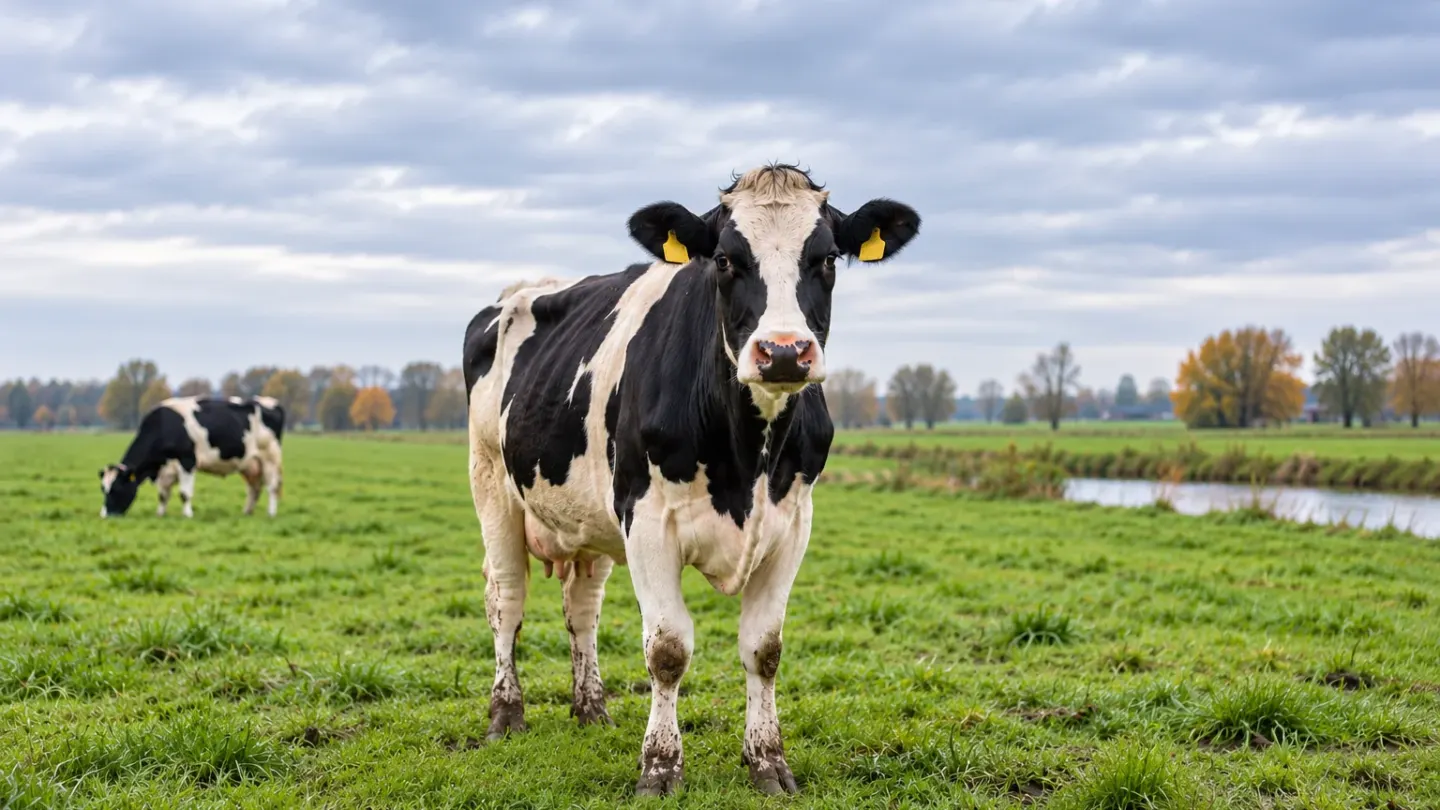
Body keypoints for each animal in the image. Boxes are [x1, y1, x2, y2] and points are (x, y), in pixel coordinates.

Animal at [99, 396, 286, 519]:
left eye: (116, 488)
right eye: (103, 489)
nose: (105, 515)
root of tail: (270, 401)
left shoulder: (187, 461)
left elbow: (184, 493)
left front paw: (187, 514)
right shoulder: (166, 468)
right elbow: (163, 494)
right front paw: (160, 513)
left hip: (270, 457)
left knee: (272, 486)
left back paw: (271, 513)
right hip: (249, 464)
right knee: (254, 488)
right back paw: (247, 512)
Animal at [463, 163, 921, 796]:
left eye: (827, 258)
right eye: (724, 259)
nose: (783, 352)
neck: (747, 457)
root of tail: (522, 290)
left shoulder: (792, 525)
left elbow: (765, 648)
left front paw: (768, 761)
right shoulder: (648, 520)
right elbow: (668, 650)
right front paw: (660, 766)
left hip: (589, 517)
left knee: (582, 607)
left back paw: (592, 709)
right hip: (492, 486)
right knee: (506, 599)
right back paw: (506, 715)